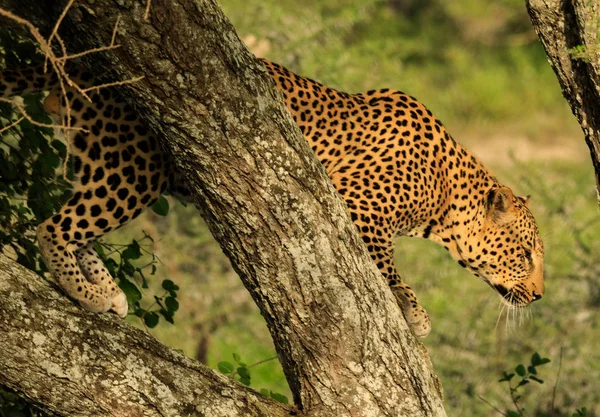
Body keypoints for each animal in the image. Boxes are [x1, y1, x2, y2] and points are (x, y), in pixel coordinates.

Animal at [0, 58, 544, 336]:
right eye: (525, 255)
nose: (539, 295)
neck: (448, 195)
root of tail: (80, 62)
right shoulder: (359, 205)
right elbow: (389, 270)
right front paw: (415, 312)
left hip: (104, 160)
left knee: (79, 230)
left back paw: (106, 291)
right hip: (132, 166)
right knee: (52, 226)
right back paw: (90, 294)